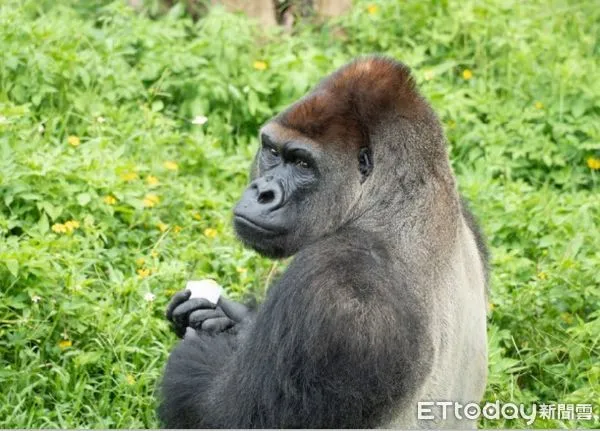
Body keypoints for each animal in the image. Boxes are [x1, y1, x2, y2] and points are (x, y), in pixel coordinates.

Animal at [158, 56, 488, 428]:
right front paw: (229, 316)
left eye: (302, 163)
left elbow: (229, 416)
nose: (262, 193)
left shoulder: (336, 286)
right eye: (272, 151)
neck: (396, 200)